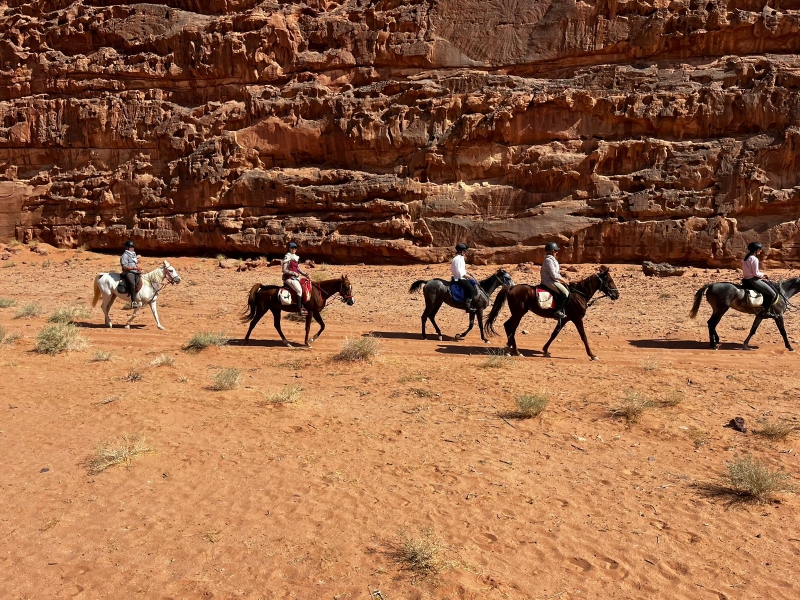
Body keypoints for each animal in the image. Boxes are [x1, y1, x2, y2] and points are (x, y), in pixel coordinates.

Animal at [482, 268, 620, 360]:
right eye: (610, 280)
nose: (617, 295)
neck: (578, 294)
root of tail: (511, 287)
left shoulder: (564, 319)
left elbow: (554, 333)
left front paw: (545, 350)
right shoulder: (577, 318)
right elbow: (583, 336)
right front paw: (592, 355)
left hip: (518, 313)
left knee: (508, 326)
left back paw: (511, 348)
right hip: (519, 313)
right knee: (511, 327)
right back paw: (515, 350)